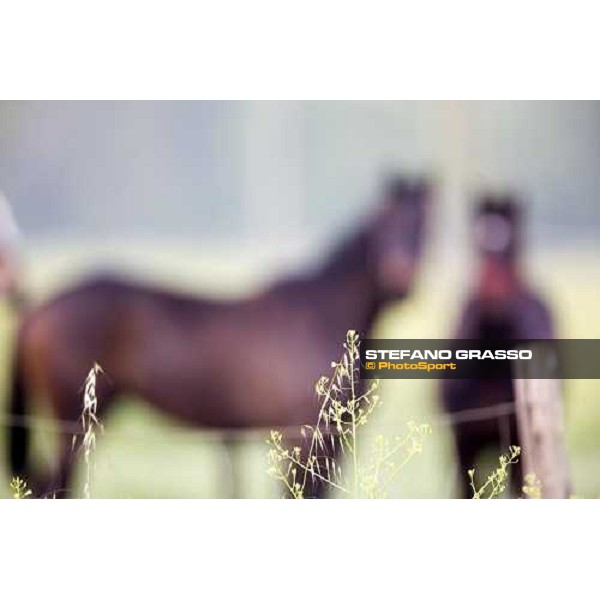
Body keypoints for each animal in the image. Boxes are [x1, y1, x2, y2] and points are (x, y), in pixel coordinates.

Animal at [8, 177, 432, 496]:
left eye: (424, 224)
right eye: (384, 221)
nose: (401, 276)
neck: (320, 314)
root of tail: (37, 310)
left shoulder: (333, 443)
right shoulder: (302, 439)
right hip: (72, 427)